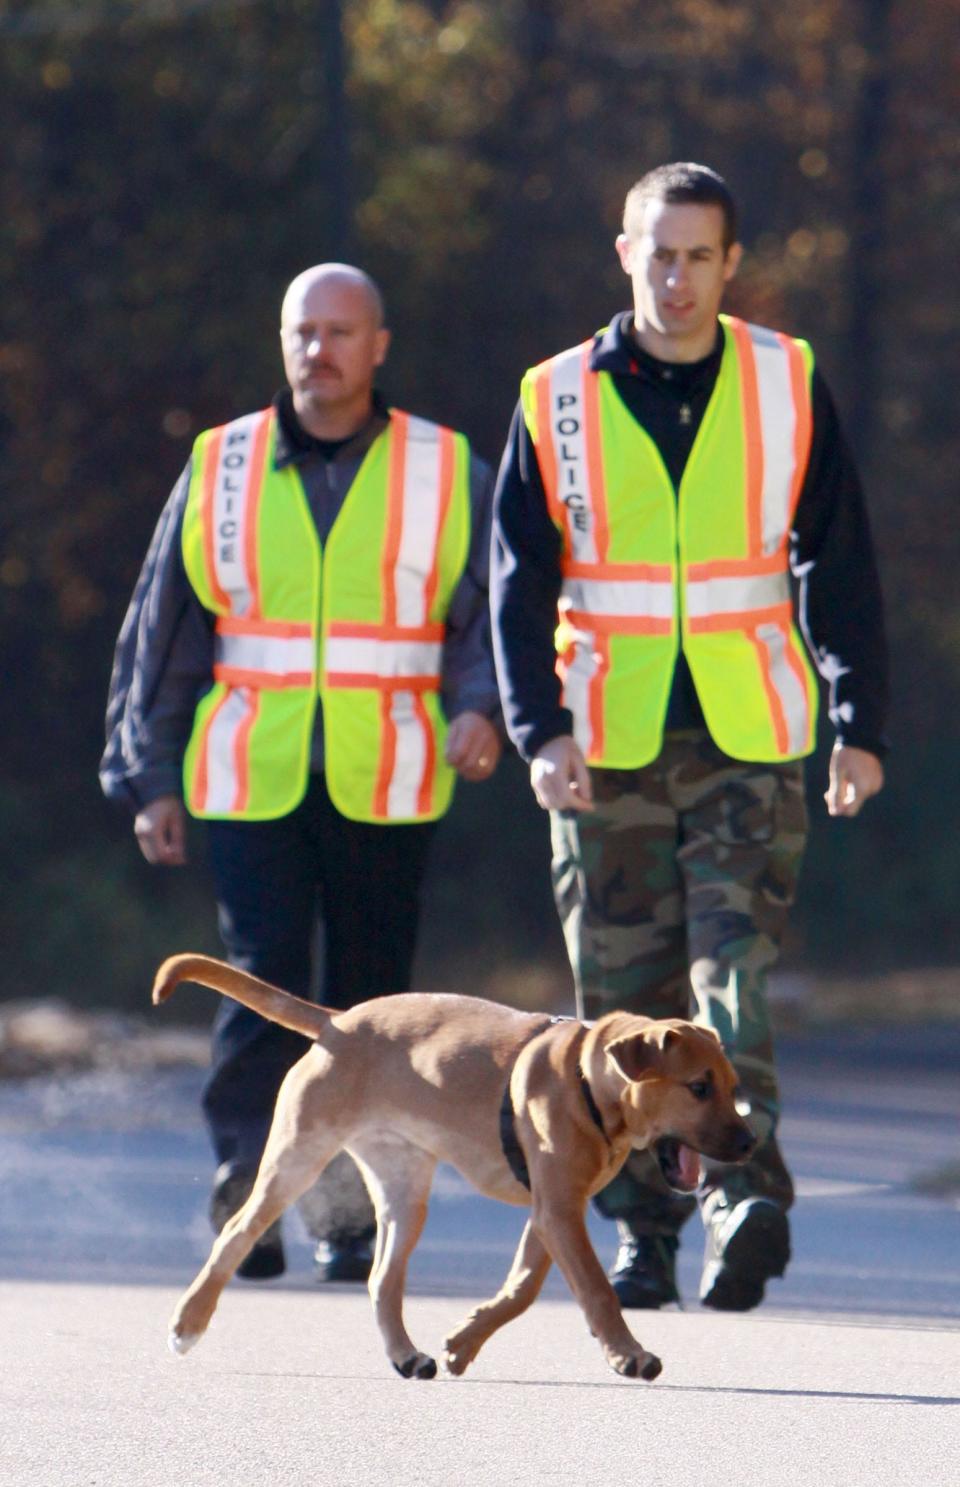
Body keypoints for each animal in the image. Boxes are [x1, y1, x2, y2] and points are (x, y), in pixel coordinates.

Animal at [154, 951, 754, 1379]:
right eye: (699, 1088)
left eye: (732, 1087)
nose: (750, 1143)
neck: (586, 1077)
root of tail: (338, 1022)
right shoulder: (559, 1210)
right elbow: (595, 1290)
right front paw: (628, 1354)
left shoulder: (552, 1210)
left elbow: (521, 1290)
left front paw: (463, 1343)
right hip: (297, 1158)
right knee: (236, 1233)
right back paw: (188, 1323)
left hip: (404, 1191)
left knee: (381, 1280)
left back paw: (406, 1355)